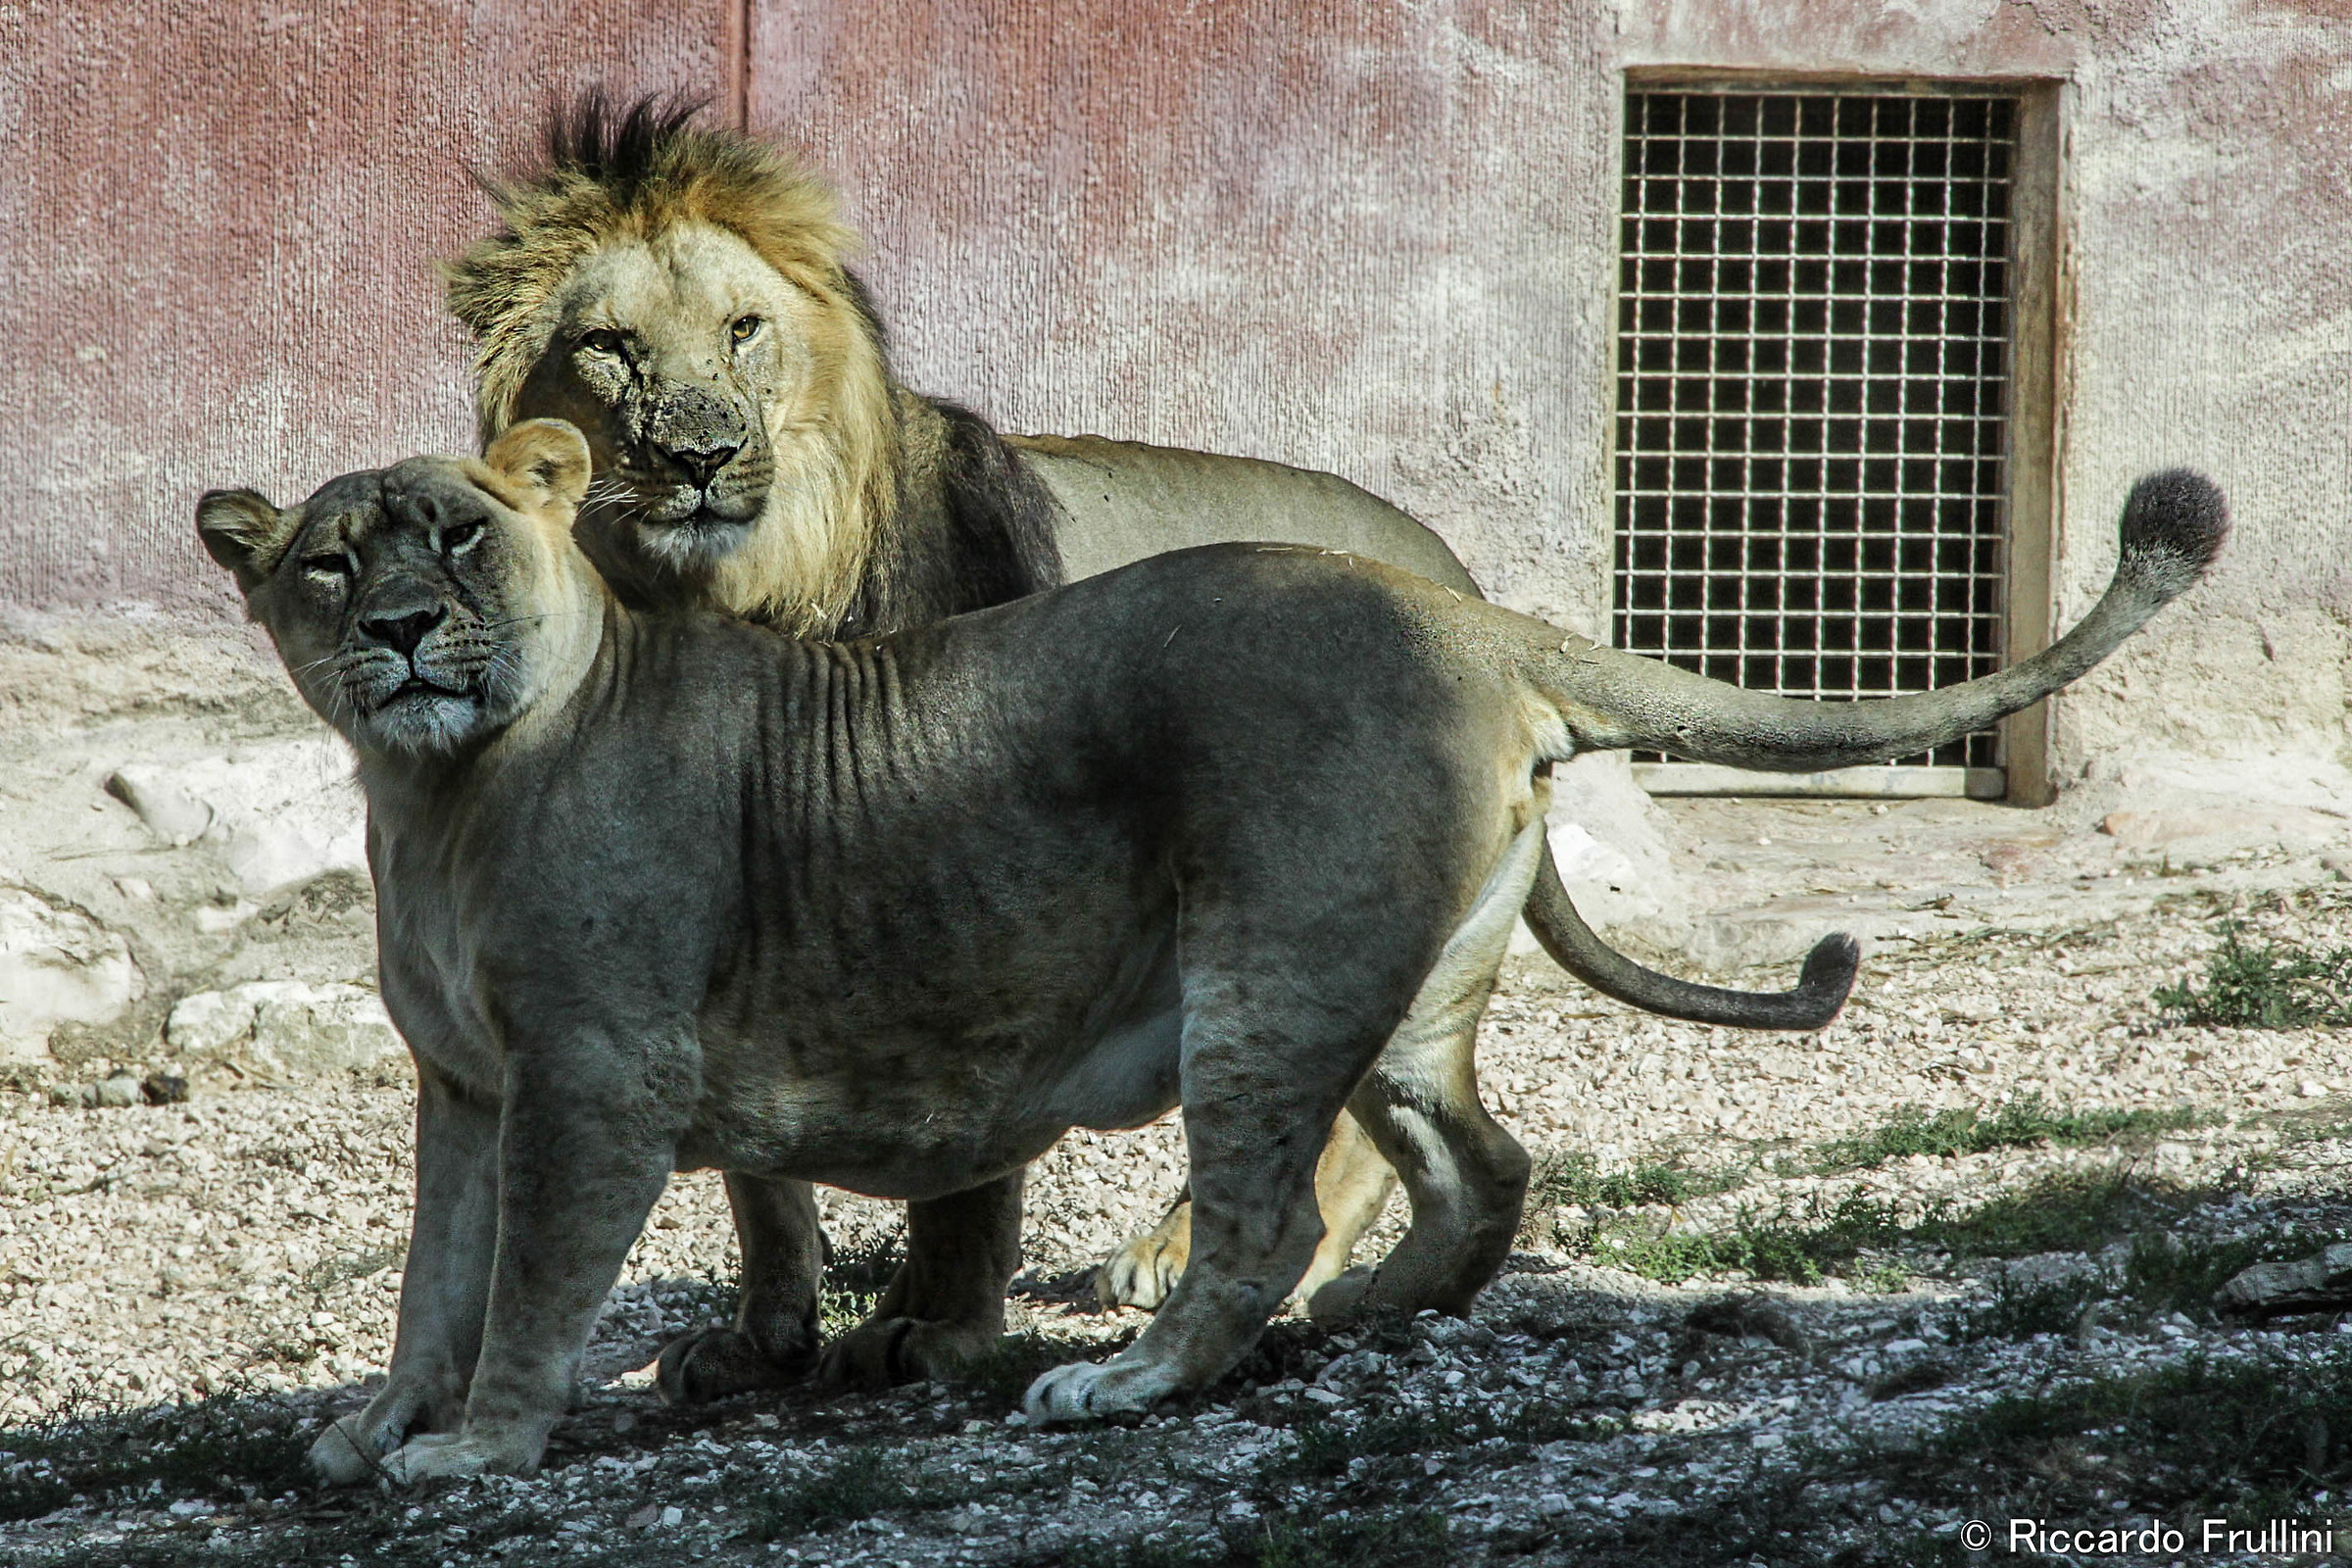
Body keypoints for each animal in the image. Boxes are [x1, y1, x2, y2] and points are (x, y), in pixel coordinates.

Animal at [194, 423, 2219, 1479]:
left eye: (461, 537)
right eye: (323, 565)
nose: (396, 630)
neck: (433, 795)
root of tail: (1466, 615)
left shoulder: (593, 1080)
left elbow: (531, 1286)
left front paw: (471, 1451)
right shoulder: (465, 1089)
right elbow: (431, 1274)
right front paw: (376, 1422)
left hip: (1261, 975)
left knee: (1266, 1216)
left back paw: (1136, 1379)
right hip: (1398, 990)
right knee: (1481, 1162)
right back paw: (1378, 1321)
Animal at [441, 95, 1925, 1401]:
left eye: (745, 331)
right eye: (613, 348)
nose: (699, 458)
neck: (720, 591)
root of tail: (1449, 575)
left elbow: (958, 1175)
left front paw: (933, 1332)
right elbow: (763, 1181)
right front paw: (763, 1343)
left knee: (1327, 1125)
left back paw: (1220, 1270)